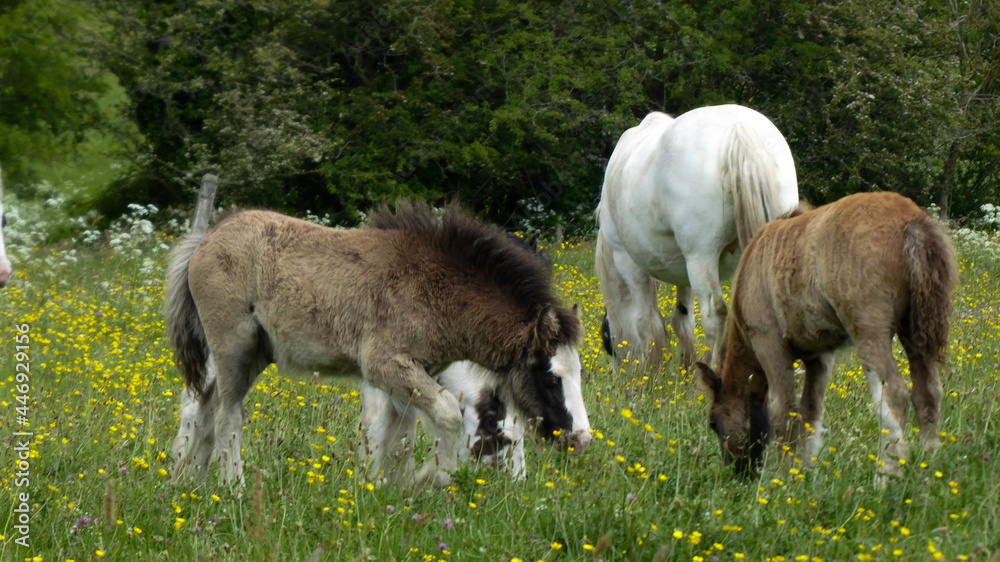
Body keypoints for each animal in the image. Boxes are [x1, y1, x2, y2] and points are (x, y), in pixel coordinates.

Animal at [166, 201, 591, 489]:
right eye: (551, 378)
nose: (581, 440)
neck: (436, 290)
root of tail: (205, 239)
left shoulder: (408, 375)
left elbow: (398, 435)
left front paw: (388, 491)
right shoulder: (383, 366)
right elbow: (443, 415)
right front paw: (431, 478)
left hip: (254, 356)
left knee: (205, 409)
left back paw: (192, 485)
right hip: (232, 349)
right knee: (226, 415)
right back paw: (232, 487)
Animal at [596, 105, 799, 370]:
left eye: (608, 344)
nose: (620, 373)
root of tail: (740, 128)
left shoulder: (627, 262)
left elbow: (643, 321)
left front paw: (653, 369)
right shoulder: (683, 272)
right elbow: (682, 318)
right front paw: (685, 363)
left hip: (700, 258)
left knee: (714, 314)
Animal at [696, 192, 957, 483]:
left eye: (713, 422)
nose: (738, 474)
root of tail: (910, 220)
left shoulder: (769, 344)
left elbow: (783, 413)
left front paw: (783, 480)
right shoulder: (820, 355)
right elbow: (811, 412)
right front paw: (802, 475)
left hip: (871, 334)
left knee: (894, 396)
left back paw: (885, 478)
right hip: (913, 333)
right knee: (928, 393)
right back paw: (929, 471)